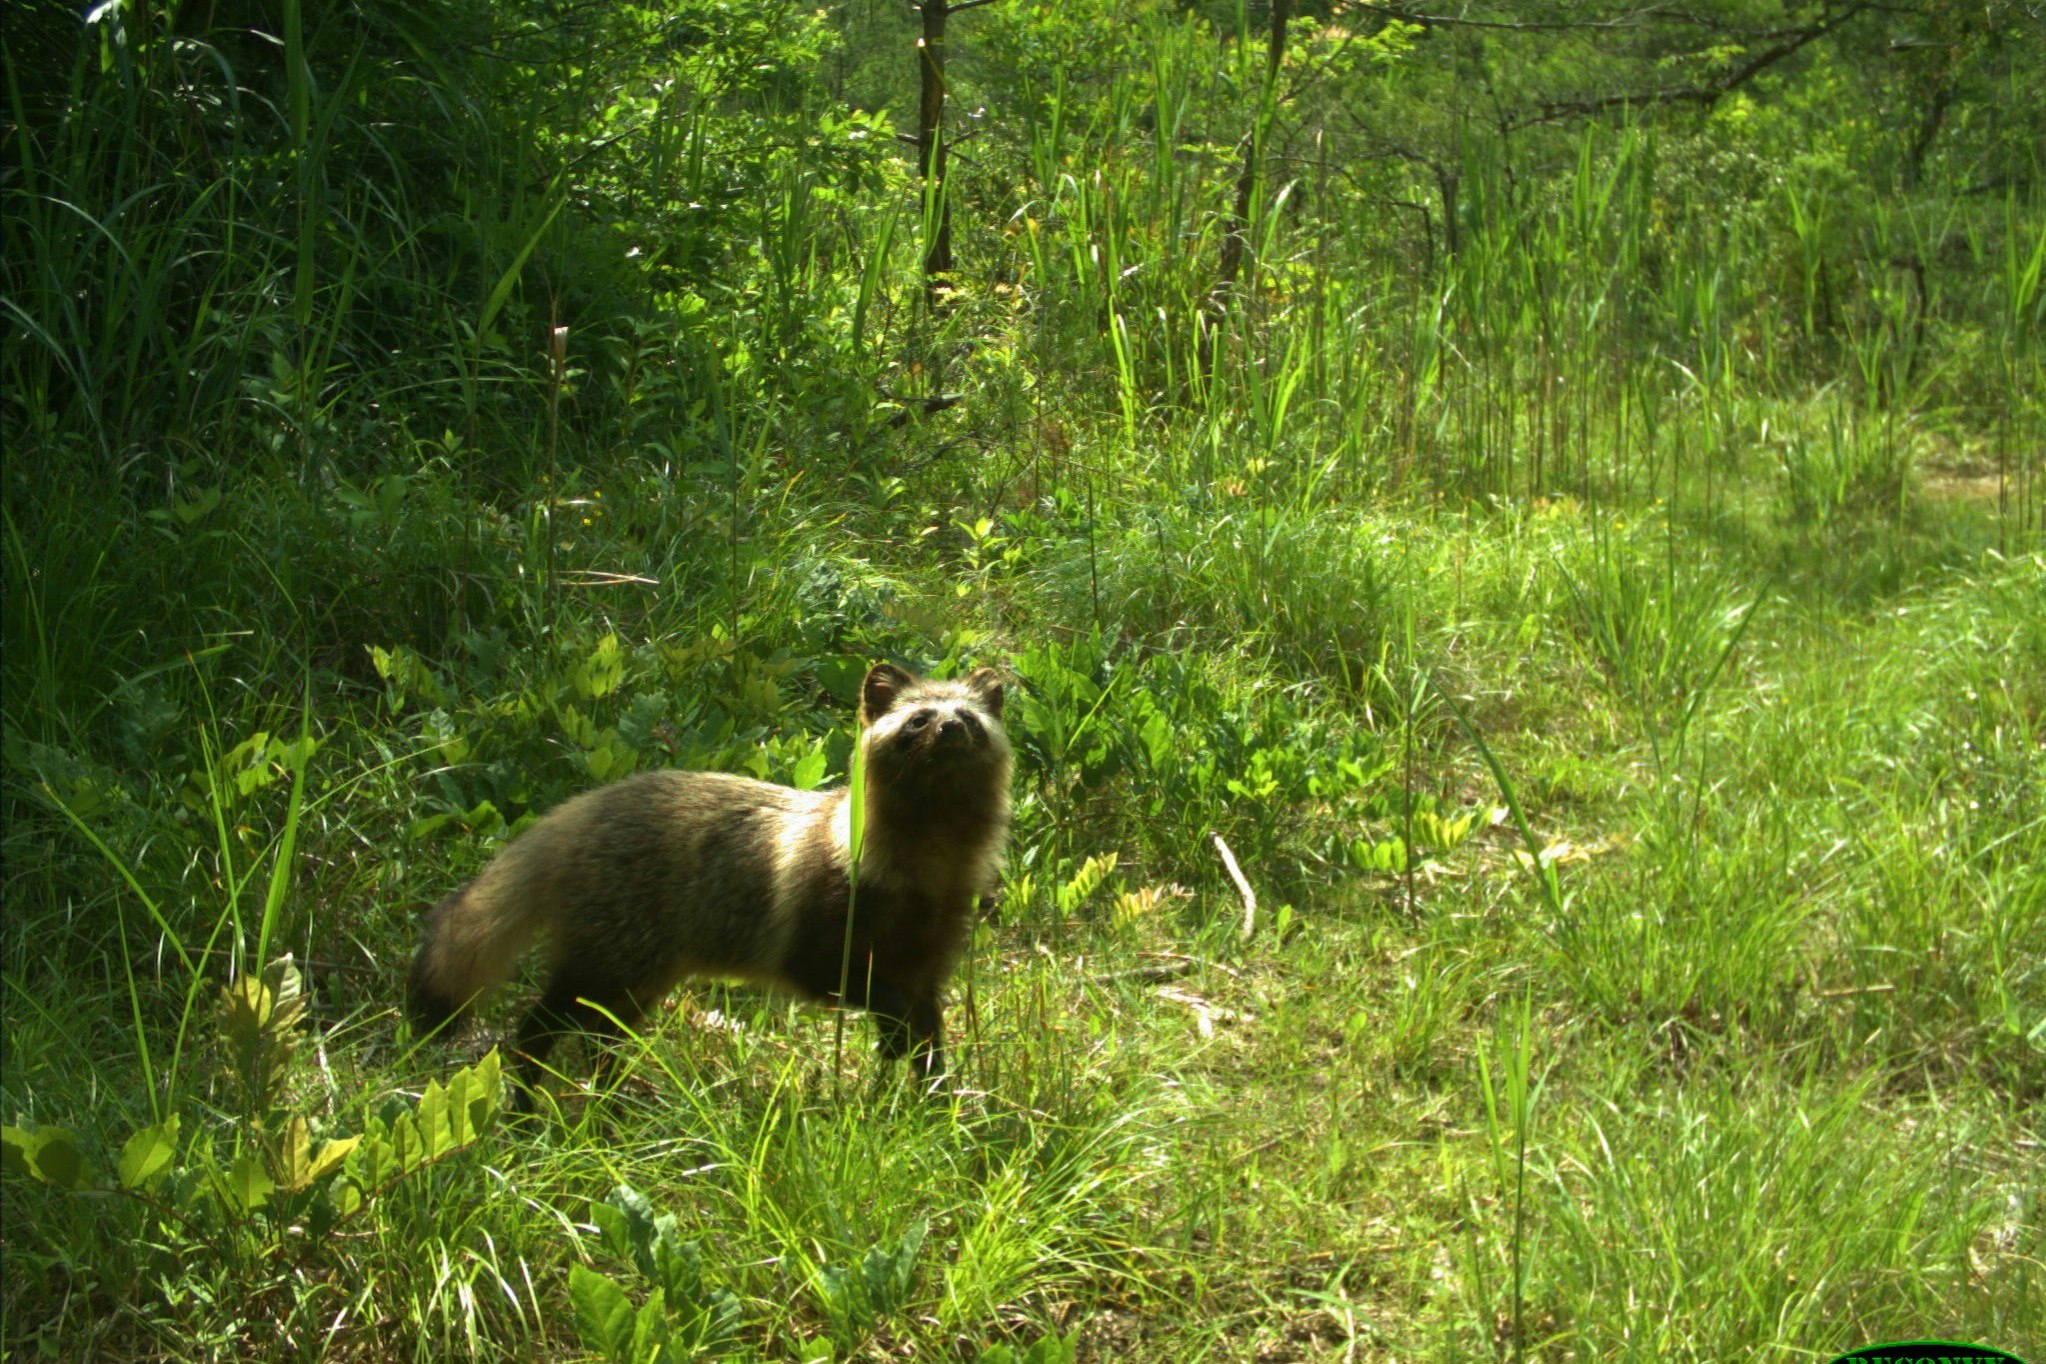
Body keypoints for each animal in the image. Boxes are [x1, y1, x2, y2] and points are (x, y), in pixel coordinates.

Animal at [403, 666, 1010, 1104]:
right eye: (918, 719)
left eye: (969, 717)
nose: (952, 729)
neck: (927, 866)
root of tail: (574, 812)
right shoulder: (816, 947)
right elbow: (880, 1000)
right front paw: (901, 1059)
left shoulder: (929, 965)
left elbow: (930, 1041)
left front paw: (932, 1106)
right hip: (608, 957)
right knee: (537, 1029)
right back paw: (527, 1105)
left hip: (638, 978)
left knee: (600, 1039)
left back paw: (608, 1104)